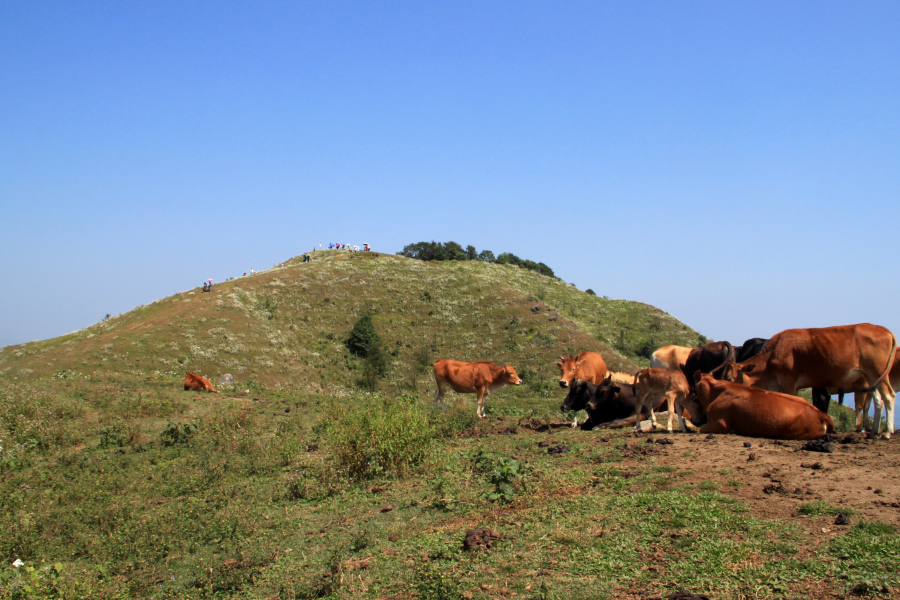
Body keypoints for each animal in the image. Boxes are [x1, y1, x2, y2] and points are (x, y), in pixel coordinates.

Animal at [720, 326, 896, 438]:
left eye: (730, 378)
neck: (773, 354)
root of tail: (883, 329)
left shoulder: (789, 383)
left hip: (877, 372)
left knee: (889, 397)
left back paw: (887, 432)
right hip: (872, 377)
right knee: (878, 400)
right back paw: (873, 432)